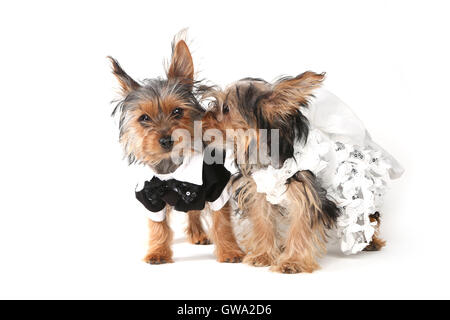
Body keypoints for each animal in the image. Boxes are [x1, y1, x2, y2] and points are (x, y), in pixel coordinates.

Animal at [108, 37, 243, 264]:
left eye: (178, 111)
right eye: (144, 118)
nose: (165, 140)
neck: (172, 171)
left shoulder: (217, 188)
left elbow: (222, 222)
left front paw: (229, 251)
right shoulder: (150, 197)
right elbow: (158, 226)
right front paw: (158, 252)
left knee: (194, 211)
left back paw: (198, 233)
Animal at [202, 72, 340, 272]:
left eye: (226, 108)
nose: (200, 120)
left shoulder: (306, 193)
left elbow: (300, 226)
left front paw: (293, 262)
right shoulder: (258, 192)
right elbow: (262, 222)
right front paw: (264, 255)